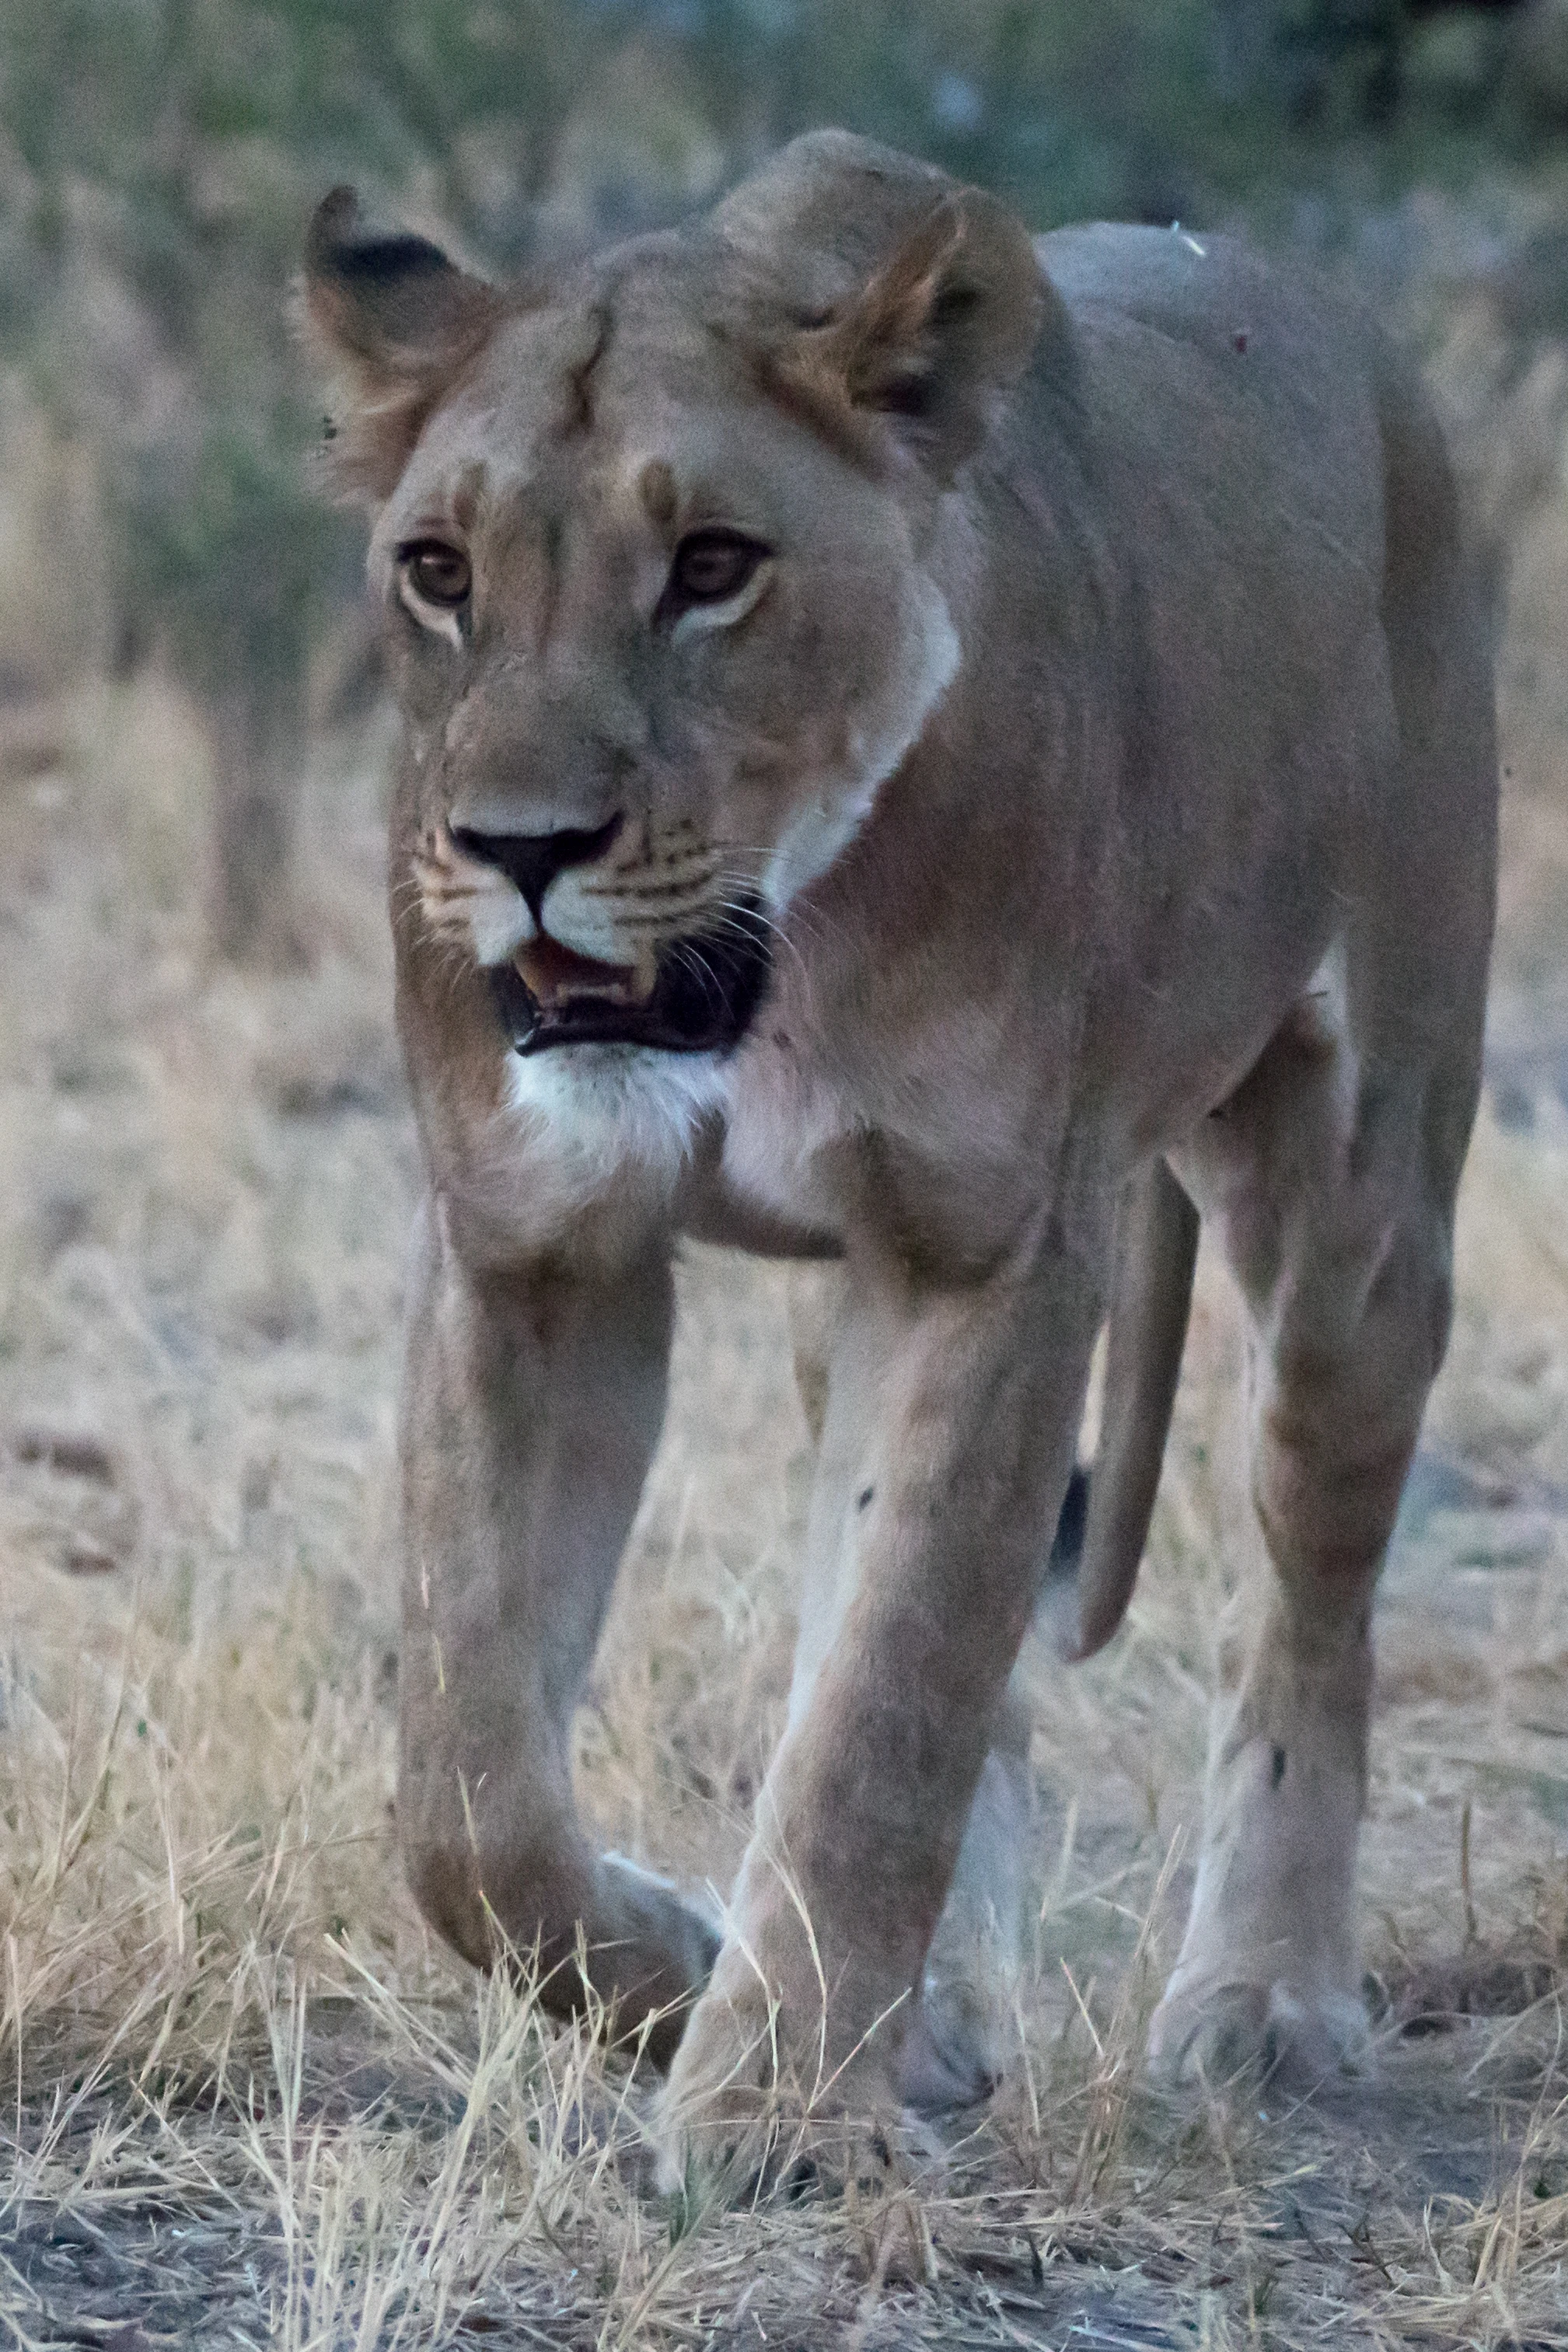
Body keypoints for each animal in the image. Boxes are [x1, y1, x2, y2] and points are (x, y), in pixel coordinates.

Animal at [302, 130, 1496, 2182]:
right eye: (437, 573)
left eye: (713, 567)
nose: (518, 848)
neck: (783, 952)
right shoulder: (536, 1235)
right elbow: (467, 1778)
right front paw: (682, 1976)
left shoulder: (994, 1251)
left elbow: (890, 1697)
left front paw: (777, 2105)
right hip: (845, 1304)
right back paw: (921, 2024)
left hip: (1362, 1200)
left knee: (1307, 1614)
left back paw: (1262, 2007)